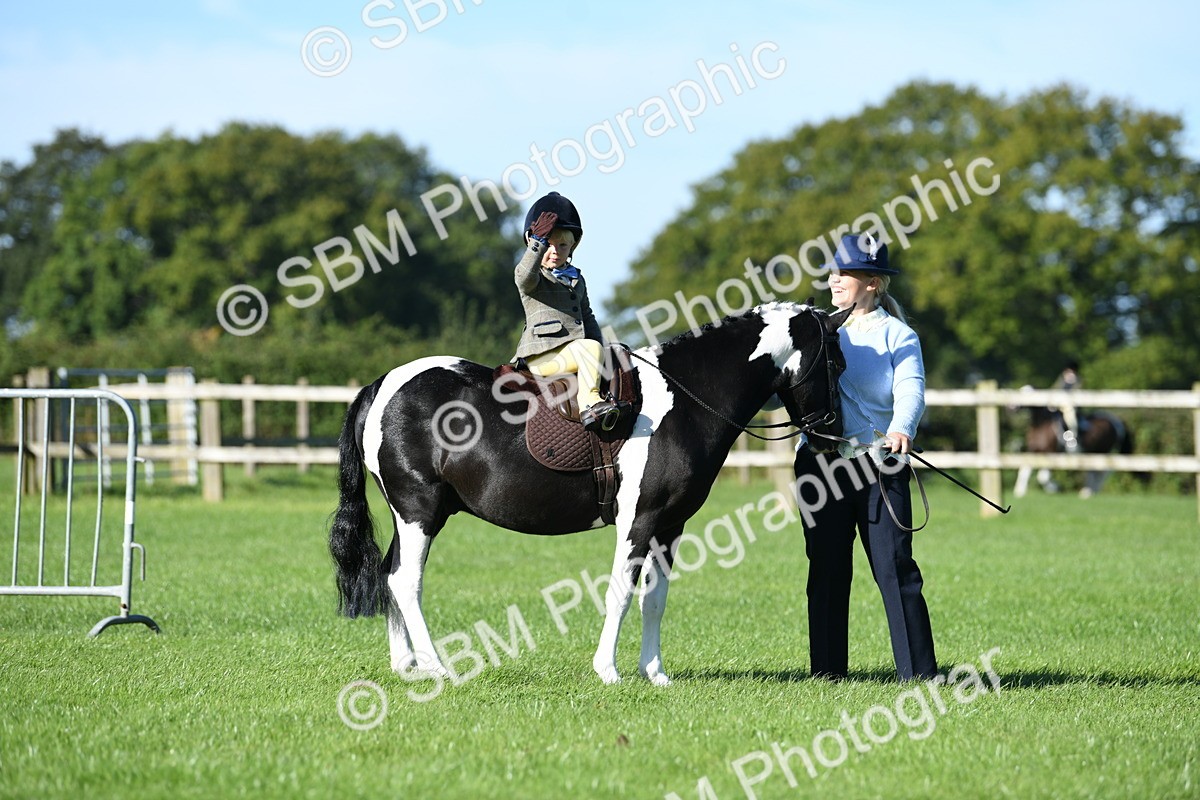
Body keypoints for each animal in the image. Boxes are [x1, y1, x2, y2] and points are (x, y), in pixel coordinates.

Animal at [329, 302, 850, 686]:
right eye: (836, 362)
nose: (832, 435)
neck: (684, 399)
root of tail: (381, 385)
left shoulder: (670, 526)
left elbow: (654, 599)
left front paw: (654, 673)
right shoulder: (638, 520)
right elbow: (620, 591)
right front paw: (608, 671)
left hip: (411, 516)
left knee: (389, 574)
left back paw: (407, 666)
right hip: (420, 512)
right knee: (404, 581)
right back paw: (437, 667)